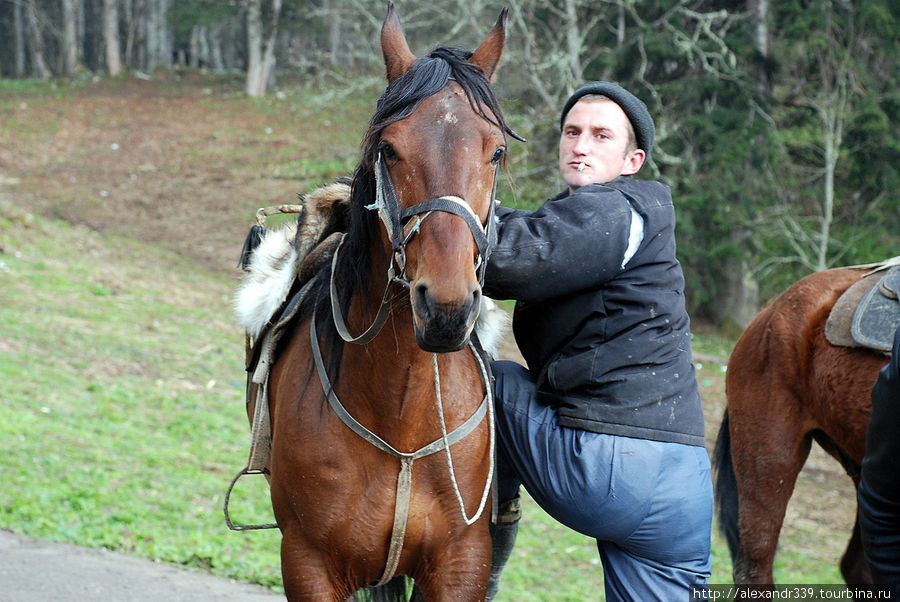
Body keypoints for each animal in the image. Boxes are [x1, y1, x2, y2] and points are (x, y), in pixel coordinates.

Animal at [253, 2, 520, 596]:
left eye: (496, 151)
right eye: (389, 148)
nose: (446, 307)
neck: (402, 418)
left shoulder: (462, 566)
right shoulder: (308, 564)